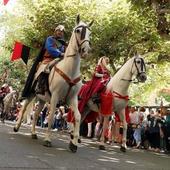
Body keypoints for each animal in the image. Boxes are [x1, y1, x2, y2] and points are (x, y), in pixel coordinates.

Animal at [13, 14, 93, 153]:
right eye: (78, 30)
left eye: (90, 32)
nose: (85, 50)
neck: (70, 69)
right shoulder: (55, 96)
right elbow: (50, 117)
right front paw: (47, 139)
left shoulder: (72, 99)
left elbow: (77, 116)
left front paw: (74, 143)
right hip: (31, 94)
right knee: (24, 109)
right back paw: (17, 127)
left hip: (42, 99)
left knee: (36, 114)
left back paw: (33, 133)